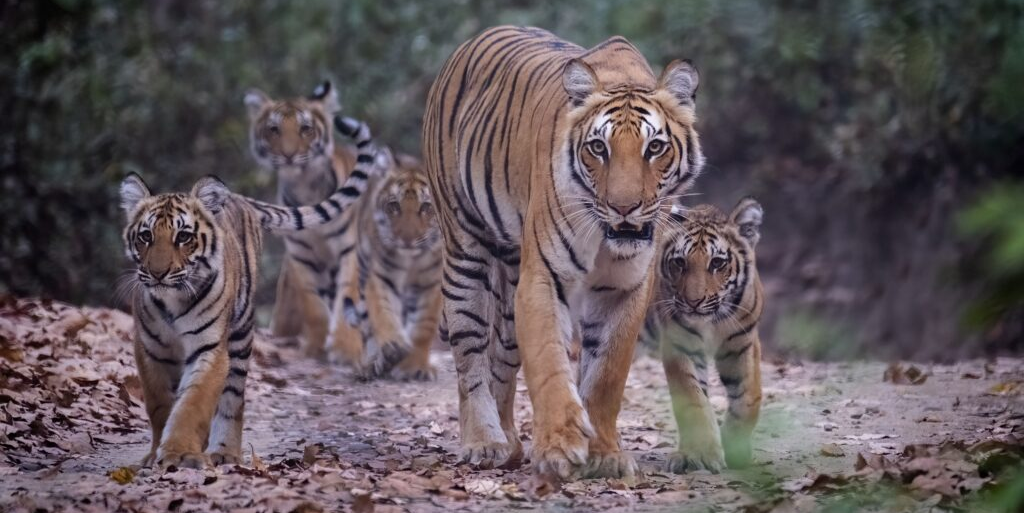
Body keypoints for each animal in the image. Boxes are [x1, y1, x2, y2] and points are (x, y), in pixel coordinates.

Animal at [119, 118, 377, 468]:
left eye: (183, 237)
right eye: (145, 236)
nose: (158, 273)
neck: (171, 301)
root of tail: (239, 197)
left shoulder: (211, 349)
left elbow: (191, 404)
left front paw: (179, 453)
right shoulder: (150, 350)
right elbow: (160, 406)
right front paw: (157, 452)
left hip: (240, 341)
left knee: (232, 401)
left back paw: (224, 452)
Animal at [244, 81, 367, 361]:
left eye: (306, 129)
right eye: (274, 129)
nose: (289, 155)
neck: (305, 187)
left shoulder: (349, 251)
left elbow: (348, 294)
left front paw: (346, 349)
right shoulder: (300, 255)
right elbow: (314, 306)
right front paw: (315, 348)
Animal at [333, 151, 443, 380]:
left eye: (426, 207)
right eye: (394, 206)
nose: (407, 239)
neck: (411, 260)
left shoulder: (432, 283)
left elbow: (423, 326)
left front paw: (416, 367)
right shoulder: (380, 277)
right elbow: (383, 313)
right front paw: (393, 346)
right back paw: (372, 364)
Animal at [422, 26, 704, 480]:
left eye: (655, 148)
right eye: (599, 148)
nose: (624, 207)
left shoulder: (626, 288)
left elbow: (606, 374)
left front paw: (604, 455)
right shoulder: (543, 279)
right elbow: (550, 364)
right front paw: (558, 447)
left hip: (510, 279)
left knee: (502, 357)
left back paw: (510, 445)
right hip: (465, 250)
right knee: (471, 357)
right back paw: (484, 442)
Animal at [642, 198, 764, 473]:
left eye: (717, 263)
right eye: (679, 262)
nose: (693, 302)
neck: (712, 321)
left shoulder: (743, 344)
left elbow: (748, 397)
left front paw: (736, 447)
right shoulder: (679, 345)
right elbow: (693, 398)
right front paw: (700, 454)